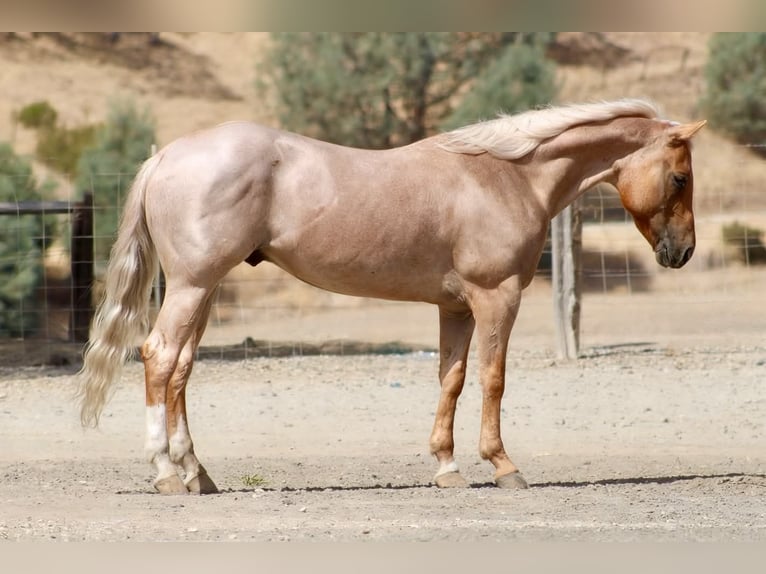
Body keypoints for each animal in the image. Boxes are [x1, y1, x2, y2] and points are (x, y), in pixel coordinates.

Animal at [77, 99, 705, 494]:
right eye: (680, 177)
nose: (682, 252)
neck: (506, 177)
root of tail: (166, 156)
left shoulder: (456, 307)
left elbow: (451, 378)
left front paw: (447, 468)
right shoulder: (496, 298)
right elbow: (493, 378)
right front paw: (503, 466)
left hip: (202, 290)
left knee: (181, 368)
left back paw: (197, 474)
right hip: (192, 287)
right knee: (159, 357)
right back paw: (165, 473)